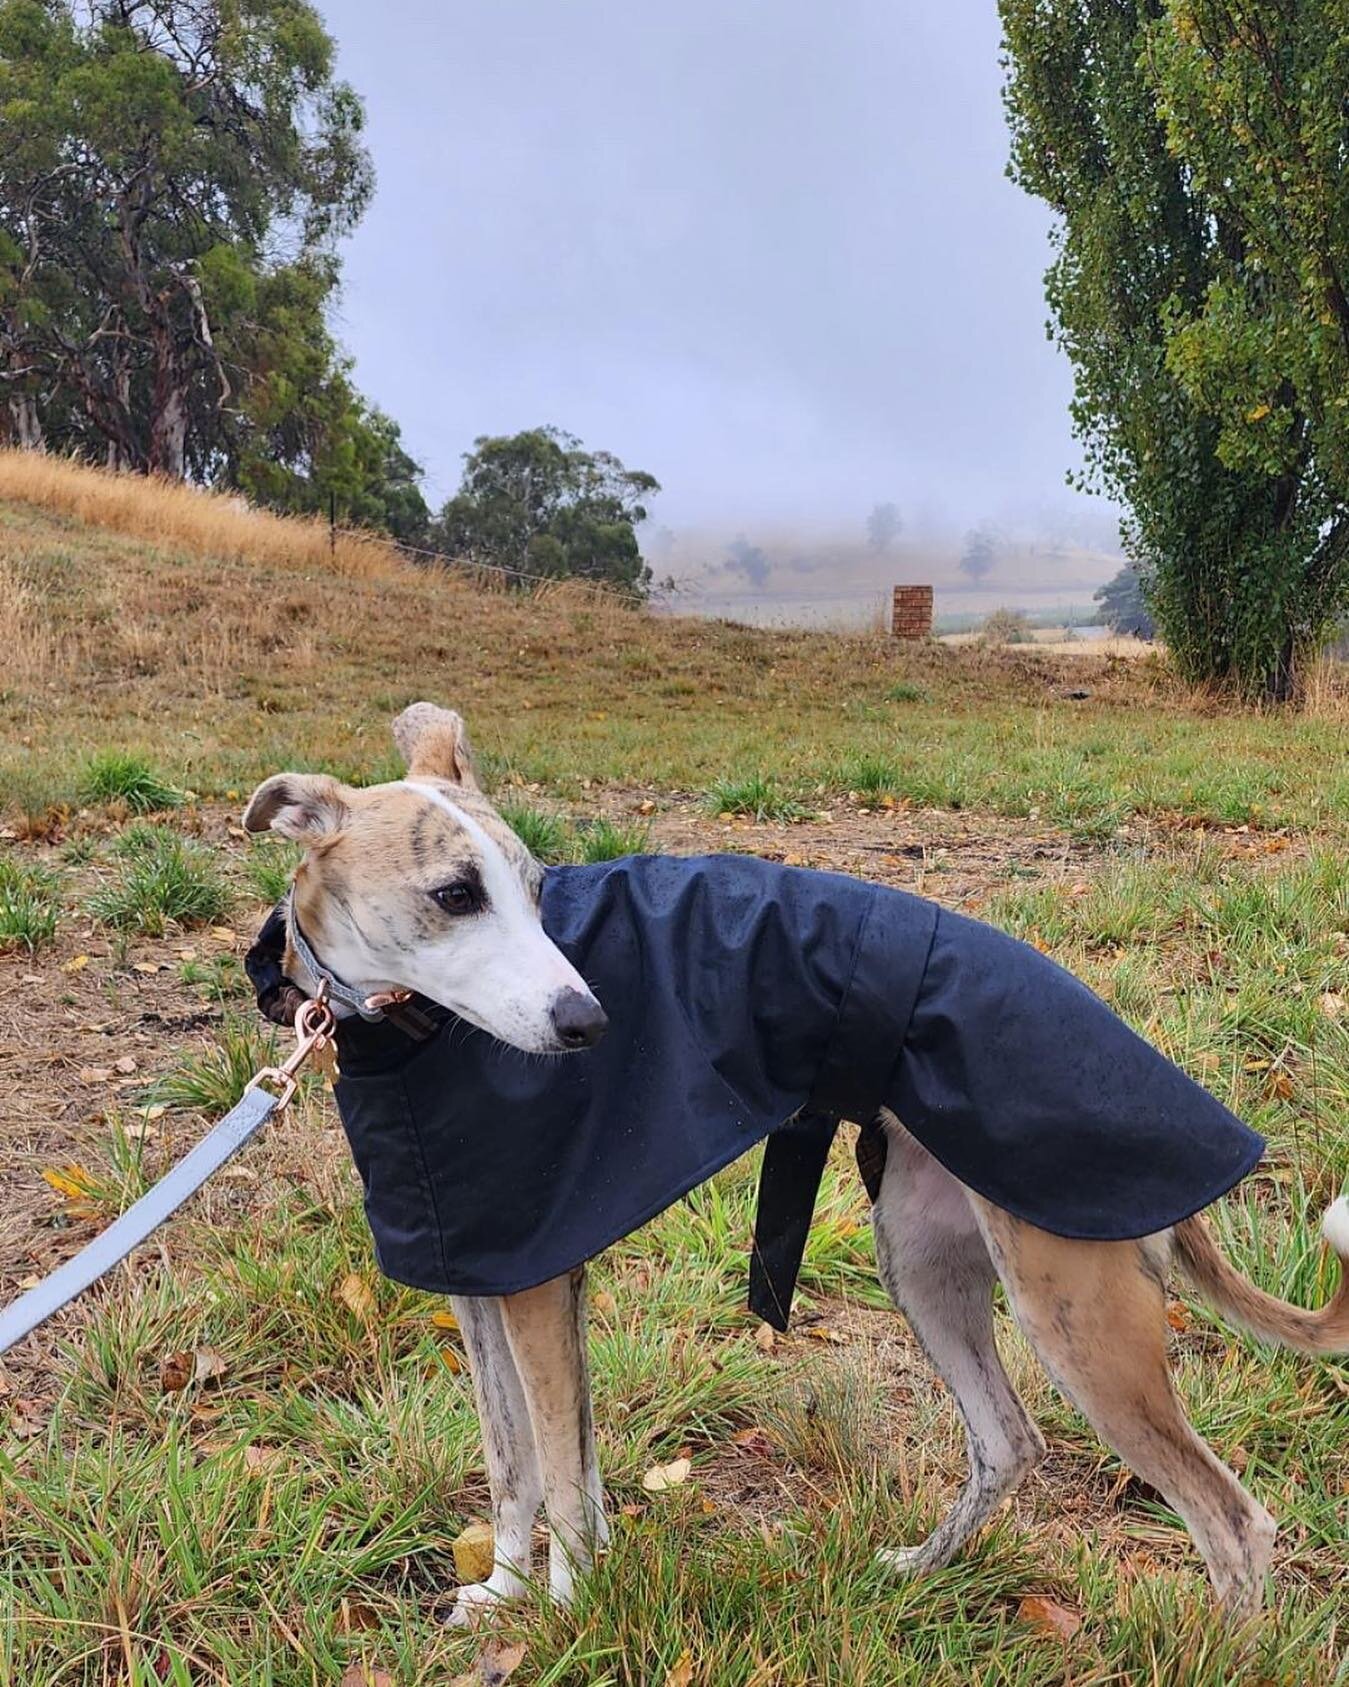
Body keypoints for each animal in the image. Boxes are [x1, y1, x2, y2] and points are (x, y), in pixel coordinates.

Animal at [244, 701, 1349, 1619]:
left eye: (537, 890)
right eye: (453, 893)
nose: (587, 1023)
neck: (409, 1034)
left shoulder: (537, 1288)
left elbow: (558, 1470)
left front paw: (560, 1617)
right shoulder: (484, 1284)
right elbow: (515, 1465)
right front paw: (506, 1594)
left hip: (1075, 1310)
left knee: (1232, 1522)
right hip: (923, 1255)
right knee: (1009, 1441)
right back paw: (918, 1569)